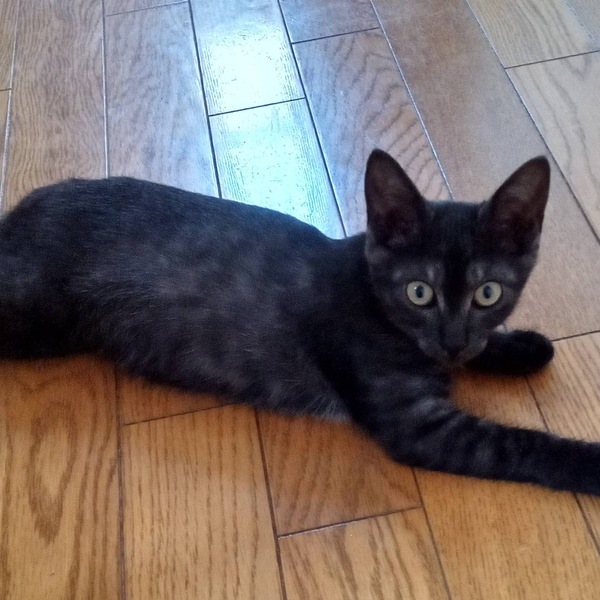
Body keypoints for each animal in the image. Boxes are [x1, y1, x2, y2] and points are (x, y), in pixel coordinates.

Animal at [1, 149, 599, 495]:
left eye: (488, 292)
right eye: (419, 292)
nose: (451, 343)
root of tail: (18, 215)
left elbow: (486, 348)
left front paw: (524, 346)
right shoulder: (421, 426)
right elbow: (522, 445)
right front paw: (591, 464)